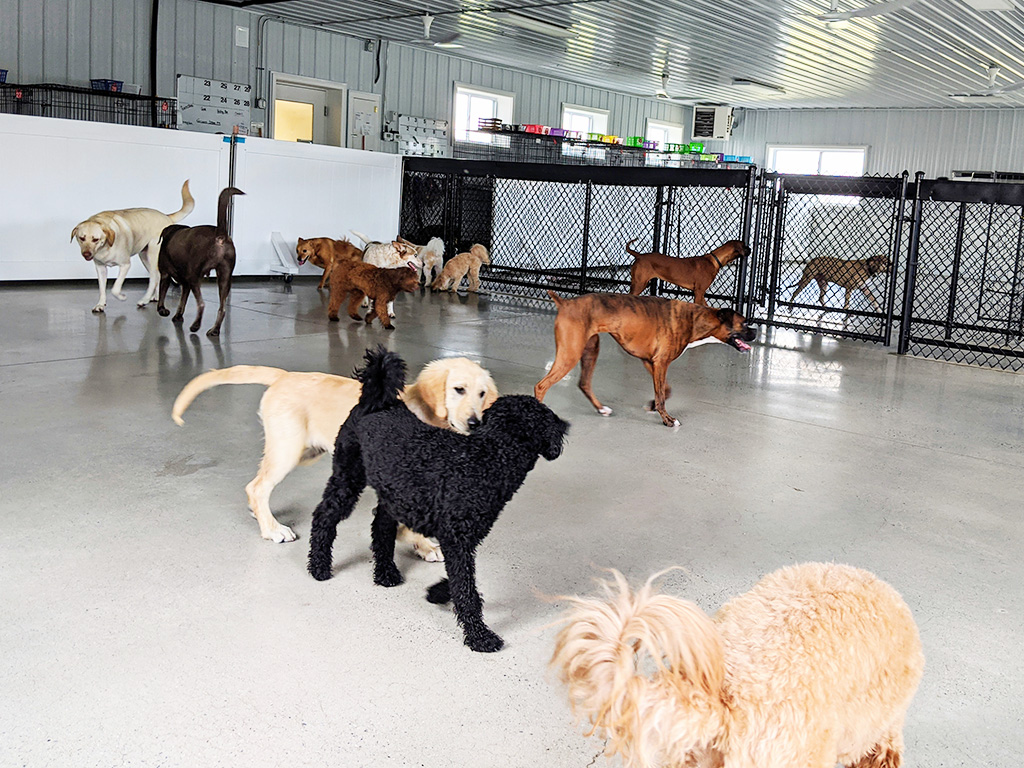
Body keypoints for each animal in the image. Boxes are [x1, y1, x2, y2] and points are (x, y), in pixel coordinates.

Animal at [71, 180, 193, 313]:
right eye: (81, 238)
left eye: (95, 239)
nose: (86, 254)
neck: (105, 247)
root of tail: (166, 216)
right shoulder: (100, 268)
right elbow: (102, 289)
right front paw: (100, 304)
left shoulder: (125, 265)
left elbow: (115, 288)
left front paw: (122, 297)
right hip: (144, 256)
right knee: (157, 277)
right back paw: (155, 297)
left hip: (153, 255)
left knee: (154, 277)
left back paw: (144, 300)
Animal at [172, 358, 499, 557]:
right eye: (458, 390)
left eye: (482, 394)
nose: (475, 423)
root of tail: (284, 376)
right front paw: (421, 545)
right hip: (288, 449)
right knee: (257, 486)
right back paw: (272, 530)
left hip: (305, 450)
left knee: (258, 484)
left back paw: (260, 515)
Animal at [536, 292, 753, 430]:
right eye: (744, 323)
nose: (756, 332)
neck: (694, 319)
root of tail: (565, 303)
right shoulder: (661, 363)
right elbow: (662, 396)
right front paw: (668, 421)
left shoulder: (652, 362)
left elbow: (665, 391)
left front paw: (651, 406)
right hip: (570, 354)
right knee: (541, 386)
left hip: (590, 350)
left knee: (584, 383)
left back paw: (602, 409)